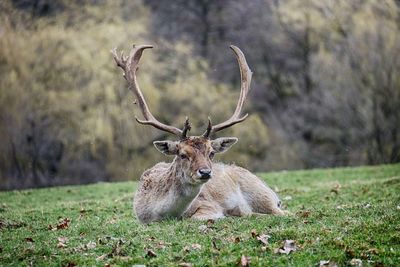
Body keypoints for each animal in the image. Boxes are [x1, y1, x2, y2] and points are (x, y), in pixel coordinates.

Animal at [111, 44, 288, 224]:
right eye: (182, 154)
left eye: (211, 153)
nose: (205, 172)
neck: (157, 213)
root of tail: (274, 194)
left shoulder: (208, 205)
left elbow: (200, 217)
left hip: (261, 195)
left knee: (282, 212)